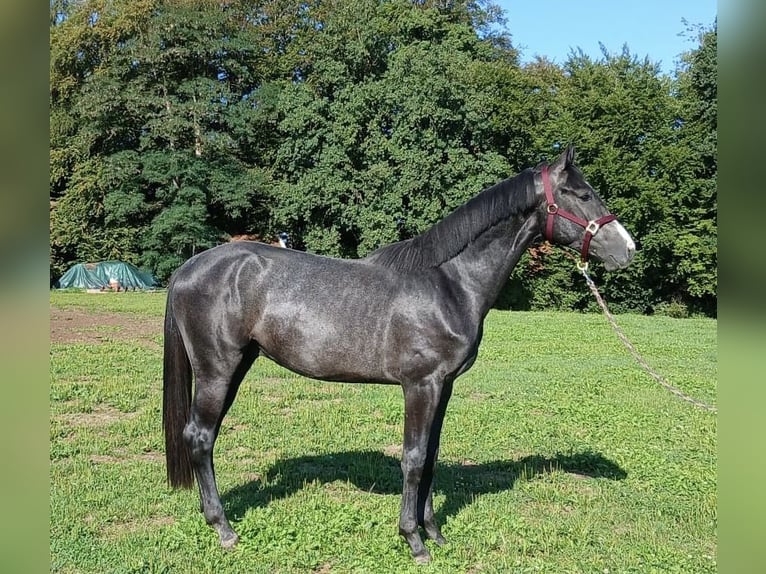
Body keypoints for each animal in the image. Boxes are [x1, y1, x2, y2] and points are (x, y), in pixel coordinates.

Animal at [163, 145, 636, 563]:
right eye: (581, 194)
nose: (628, 250)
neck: (449, 282)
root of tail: (186, 269)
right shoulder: (420, 386)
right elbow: (413, 458)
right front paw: (414, 540)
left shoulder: (443, 387)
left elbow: (430, 455)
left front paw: (435, 533)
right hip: (217, 369)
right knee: (200, 437)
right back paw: (224, 529)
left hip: (238, 365)